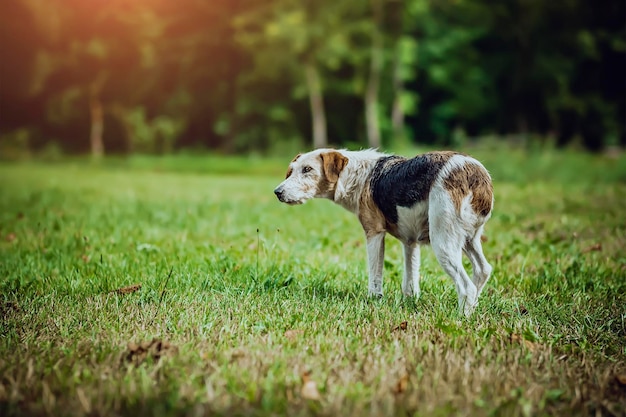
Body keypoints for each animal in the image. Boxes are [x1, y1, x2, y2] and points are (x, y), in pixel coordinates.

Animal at [272, 148, 492, 314]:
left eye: (307, 169)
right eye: (291, 171)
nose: (277, 192)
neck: (357, 175)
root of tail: (478, 176)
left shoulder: (374, 233)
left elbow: (375, 273)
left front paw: (373, 300)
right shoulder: (410, 242)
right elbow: (410, 279)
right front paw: (409, 302)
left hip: (443, 243)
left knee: (467, 287)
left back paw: (460, 318)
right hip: (468, 241)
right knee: (483, 270)